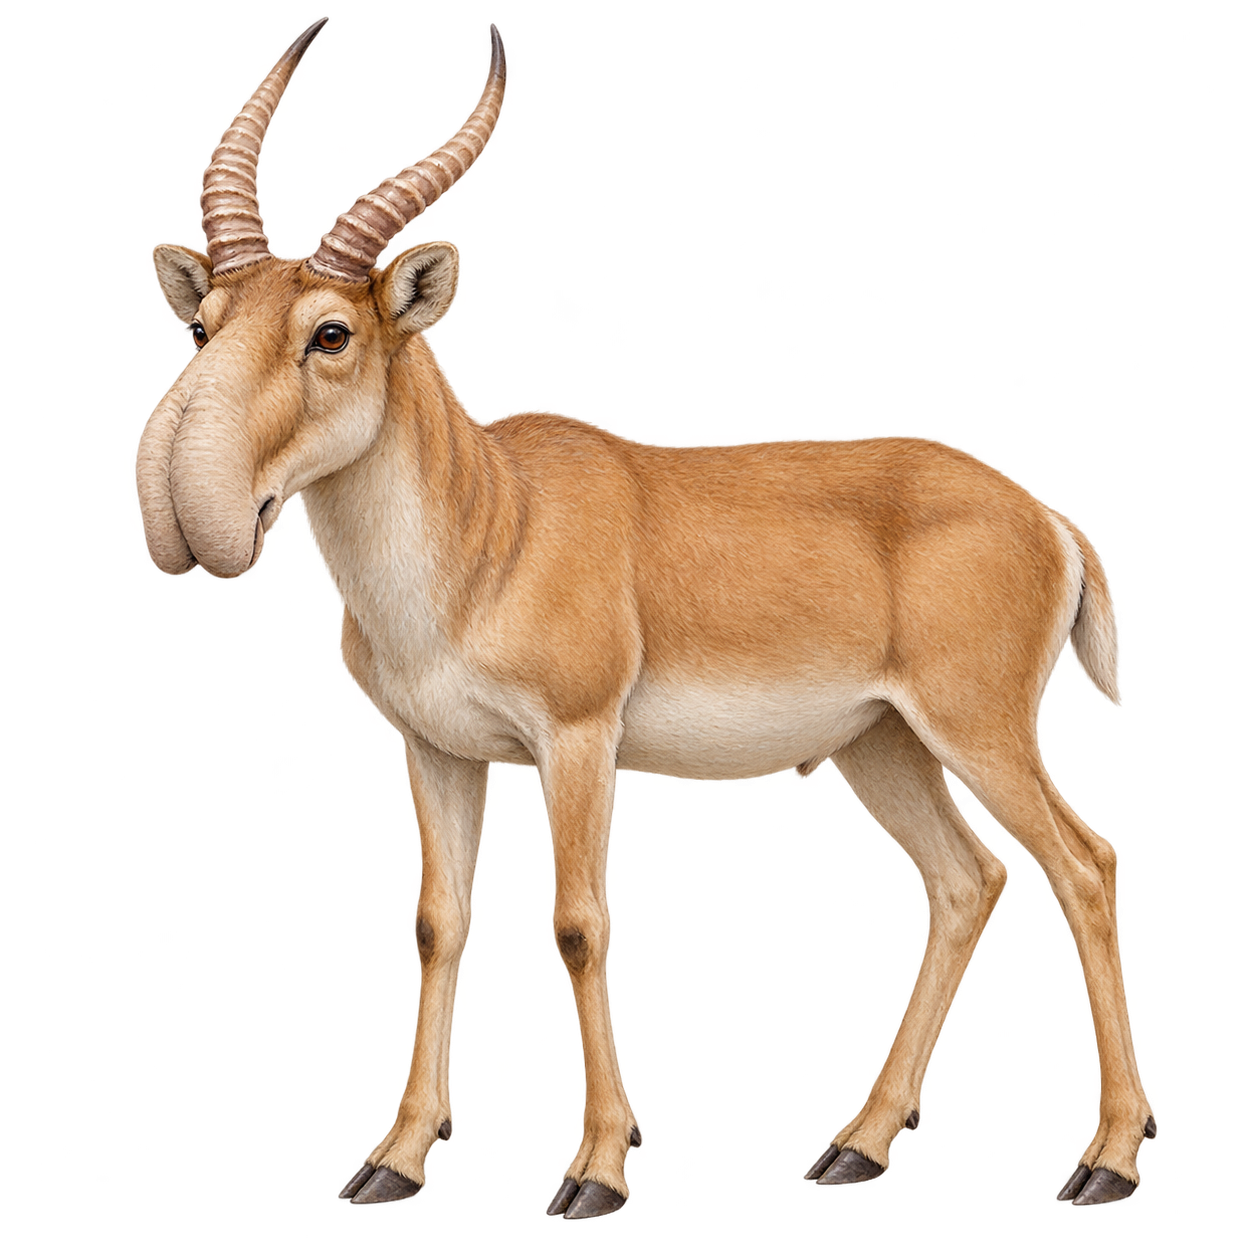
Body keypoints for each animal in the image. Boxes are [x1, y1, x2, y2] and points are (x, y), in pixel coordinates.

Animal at [130, 16, 1158, 1217]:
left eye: (330, 333)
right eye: (203, 322)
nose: (199, 509)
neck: (487, 531)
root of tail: (1044, 518)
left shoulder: (579, 742)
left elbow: (580, 924)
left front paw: (596, 1173)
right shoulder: (439, 752)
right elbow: (437, 925)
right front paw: (392, 1161)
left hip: (979, 730)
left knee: (1083, 867)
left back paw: (1106, 1162)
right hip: (883, 745)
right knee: (964, 883)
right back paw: (854, 1146)